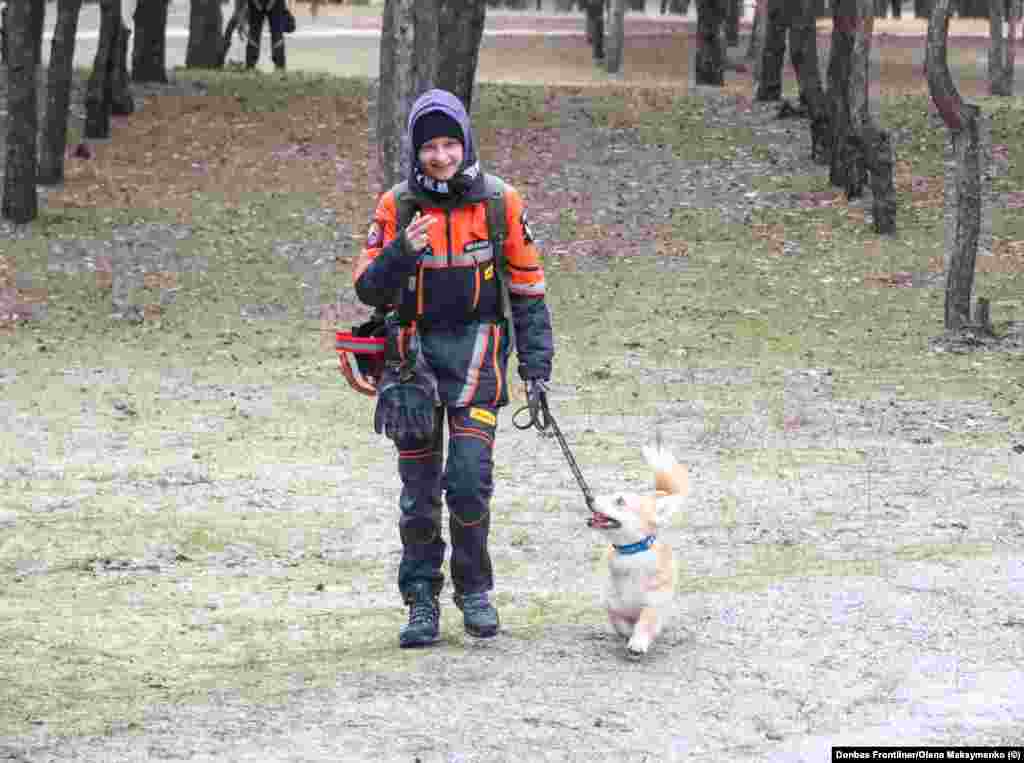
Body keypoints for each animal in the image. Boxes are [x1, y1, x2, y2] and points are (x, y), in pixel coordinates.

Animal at [585, 444, 688, 659]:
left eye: (620, 501)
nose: (589, 497)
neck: (630, 552)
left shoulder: (653, 603)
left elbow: (645, 624)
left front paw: (637, 643)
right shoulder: (613, 604)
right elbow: (621, 624)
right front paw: (627, 635)